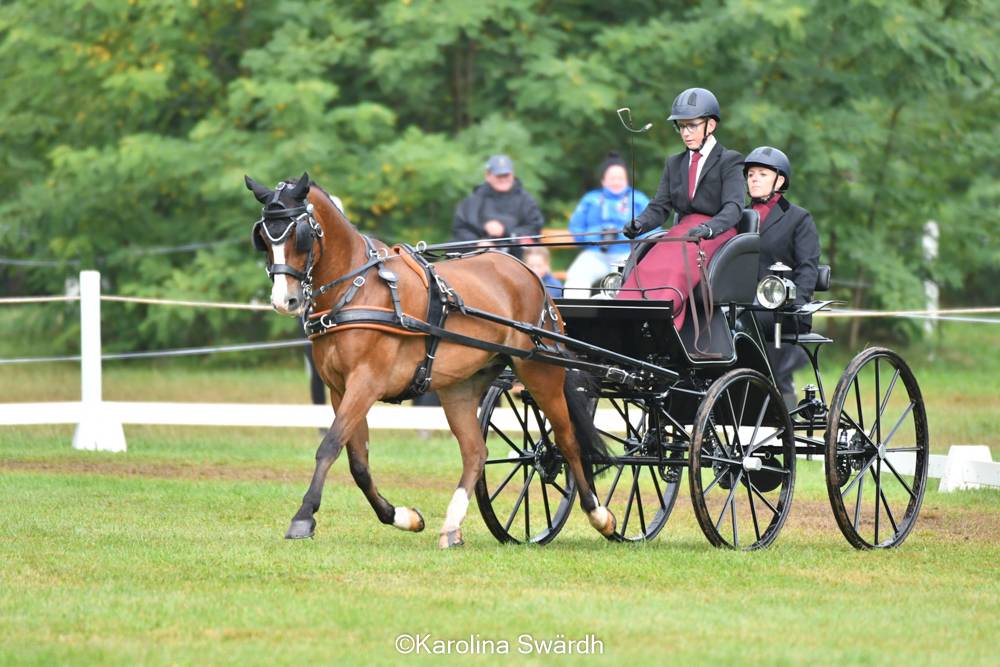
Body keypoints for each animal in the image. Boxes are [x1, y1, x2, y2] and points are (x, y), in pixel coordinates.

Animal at [246, 171, 612, 548]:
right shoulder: (339, 389)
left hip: (541, 371)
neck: (356, 290)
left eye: (300, 235)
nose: (284, 301)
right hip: (459, 388)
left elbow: (330, 445)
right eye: (264, 237)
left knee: (567, 441)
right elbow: (358, 462)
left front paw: (303, 517)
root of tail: (527, 273)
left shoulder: (365, 383)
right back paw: (451, 526)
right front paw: (403, 517)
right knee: (476, 453)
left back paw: (600, 515)